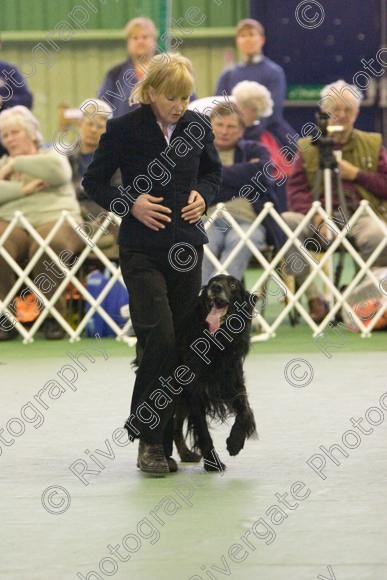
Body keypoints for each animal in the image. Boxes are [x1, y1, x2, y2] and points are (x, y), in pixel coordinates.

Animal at [174, 276, 260, 472]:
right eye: (212, 281)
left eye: (233, 284)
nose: (215, 287)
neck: (216, 340)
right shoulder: (194, 390)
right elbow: (202, 429)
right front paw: (213, 462)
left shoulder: (234, 383)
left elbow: (245, 412)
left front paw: (235, 442)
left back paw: (186, 454)